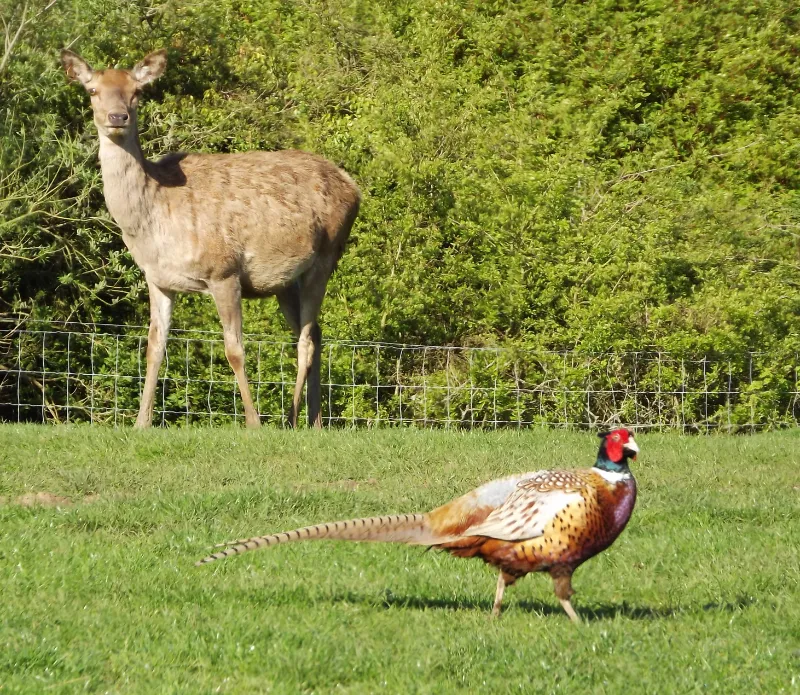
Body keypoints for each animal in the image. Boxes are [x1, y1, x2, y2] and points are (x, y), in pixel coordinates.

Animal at [61, 49, 360, 430]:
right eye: (93, 90)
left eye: (137, 92)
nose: (117, 117)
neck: (151, 225)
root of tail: (353, 186)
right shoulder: (158, 279)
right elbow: (154, 346)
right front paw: (141, 422)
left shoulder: (224, 271)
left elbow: (235, 349)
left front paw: (252, 422)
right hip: (283, 282)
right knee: (315, 333)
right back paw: (315, 420)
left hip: (326, 256)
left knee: (306, 339)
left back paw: (292, 419)